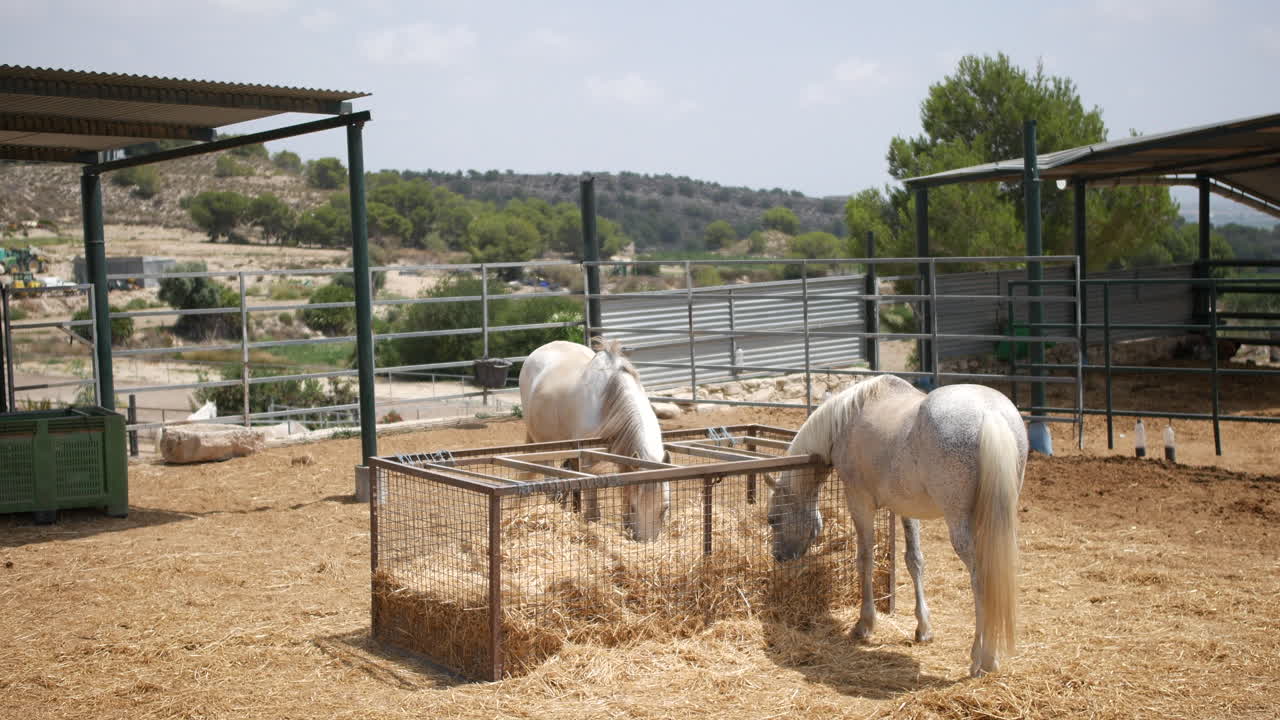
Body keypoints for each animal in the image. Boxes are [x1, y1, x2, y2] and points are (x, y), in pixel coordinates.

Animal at [518, 338, 670, 541]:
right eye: (634, 507)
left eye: (665, 508)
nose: (646, 543)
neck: (609, 404)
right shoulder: (589, 462)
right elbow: (592, 510)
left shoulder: (623, 457)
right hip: (545, 446)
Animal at [766, 374, 1027, 677]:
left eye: (772, 520)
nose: (779, 556)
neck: (845, 419)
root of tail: (990, 413)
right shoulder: (905, 508)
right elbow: (914, 560)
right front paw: (923, 628)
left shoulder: (859, 502)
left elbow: (865, 559)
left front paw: (865, 624)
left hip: (960, 523)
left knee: (981, 578)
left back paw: (982, 659)